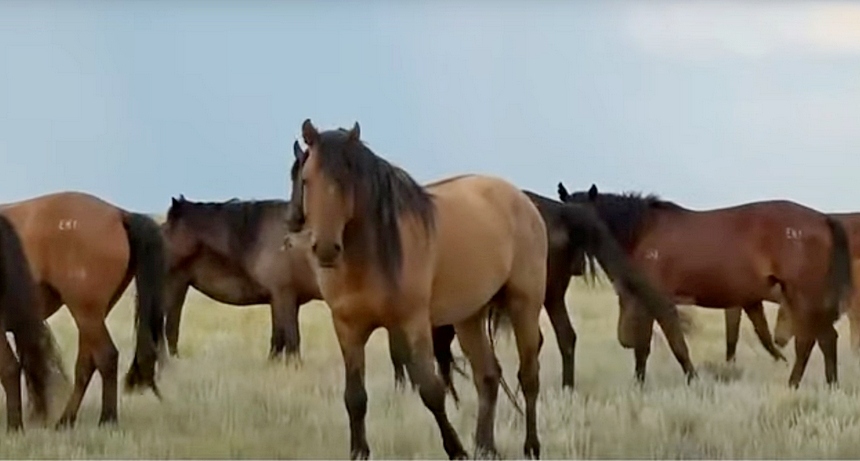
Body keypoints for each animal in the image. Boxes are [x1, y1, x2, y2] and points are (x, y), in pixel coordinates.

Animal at [286, 120, 544, 458]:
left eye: (347, 180)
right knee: (487, 376)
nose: (326, 249)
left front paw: (456, 451)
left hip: (524, 305)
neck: (370, 256)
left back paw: (531, 447)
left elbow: (431, 390)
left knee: (528, 377)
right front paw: (359, 452)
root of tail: (521, 200)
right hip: (469, 316)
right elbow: (355, 397)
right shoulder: (348, 329)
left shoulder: (413, 324)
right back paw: (486, 447)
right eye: (307, 179)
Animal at [556, 181, 852, 386]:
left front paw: (692, 379)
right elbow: (644, 347)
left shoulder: (658, 300)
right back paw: (830, 385)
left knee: (809, 341)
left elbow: (672, 344)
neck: (642, 231)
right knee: (827, 338)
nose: (576, 264)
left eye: (589, 219)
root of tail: (823, 219)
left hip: (803, 294)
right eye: (566, 217)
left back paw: (794, 384)